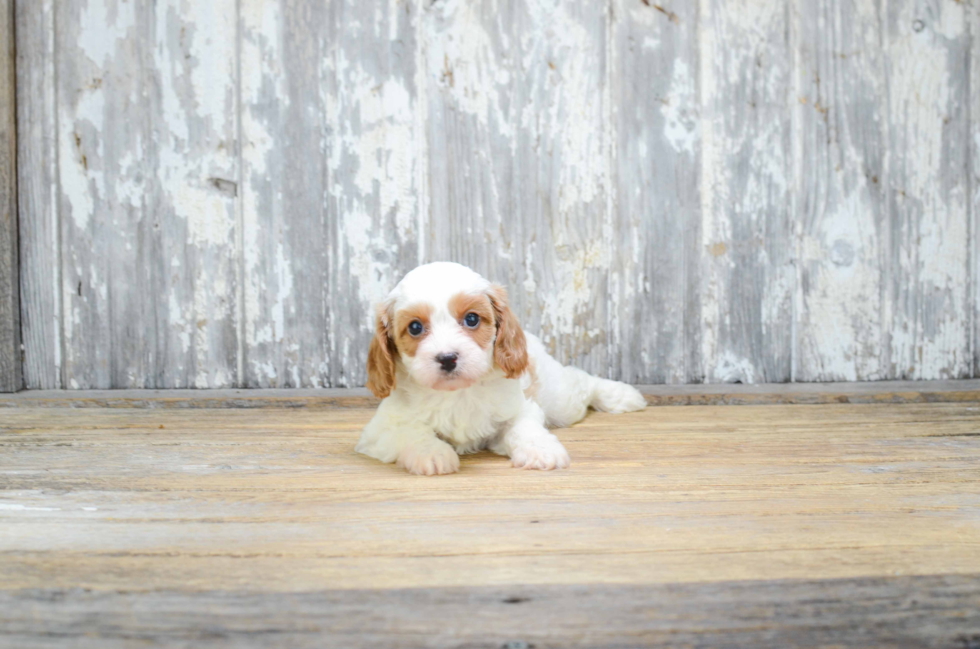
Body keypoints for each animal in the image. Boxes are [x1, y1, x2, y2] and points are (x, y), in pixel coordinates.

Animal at [356, 260, 648, 474]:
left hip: (559, 400)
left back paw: (622, 395)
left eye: (472, 319)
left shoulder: (520, 407)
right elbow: (411, 433)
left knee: (581, 381)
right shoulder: (381, 429)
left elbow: (524, 428)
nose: (448, 357)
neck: (458, 393)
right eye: (415, 327)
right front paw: (433, 453)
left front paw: (542, 451)